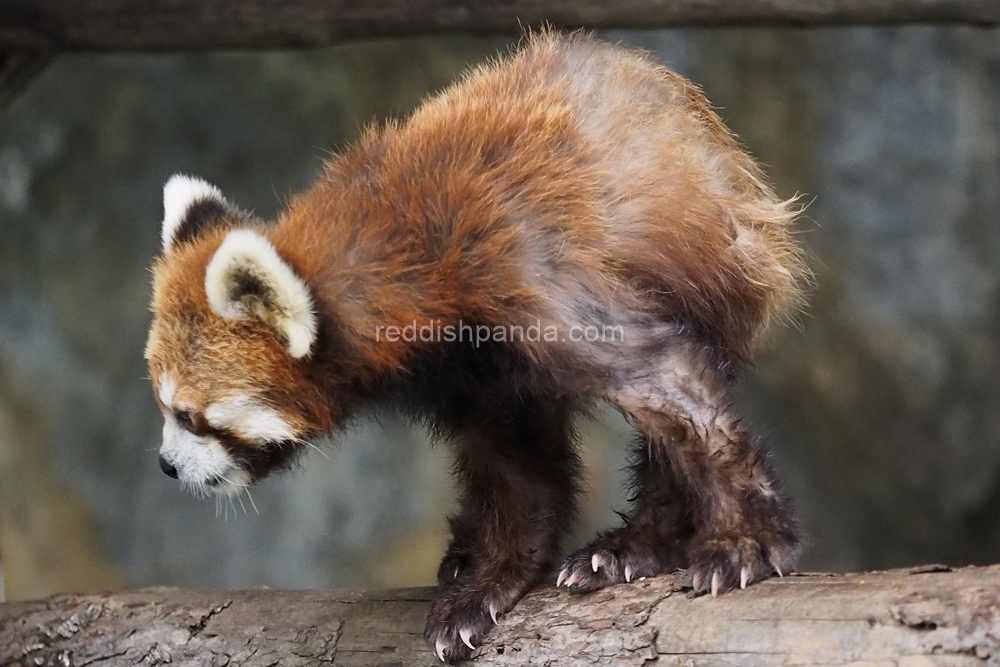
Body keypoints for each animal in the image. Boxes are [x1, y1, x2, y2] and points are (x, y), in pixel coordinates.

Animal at [146, 31, 804, 664]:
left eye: (190, 416)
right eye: (164, 406)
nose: (166, 465)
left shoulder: (539, 284)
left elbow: (673, 394)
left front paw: (746, 543)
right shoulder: (475, 374)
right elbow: (515, 470)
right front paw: (490, 580)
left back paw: (633, 546)